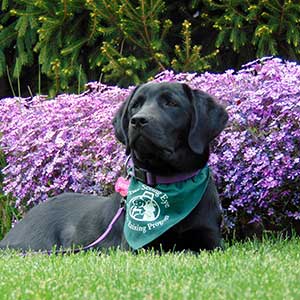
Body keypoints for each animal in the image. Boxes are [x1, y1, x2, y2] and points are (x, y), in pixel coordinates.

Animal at [0, 81, 227, 251]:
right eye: (135, 105)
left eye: (171, 103)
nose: (138, 120)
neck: (170, 182)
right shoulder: (138, 247)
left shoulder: (212, 241)